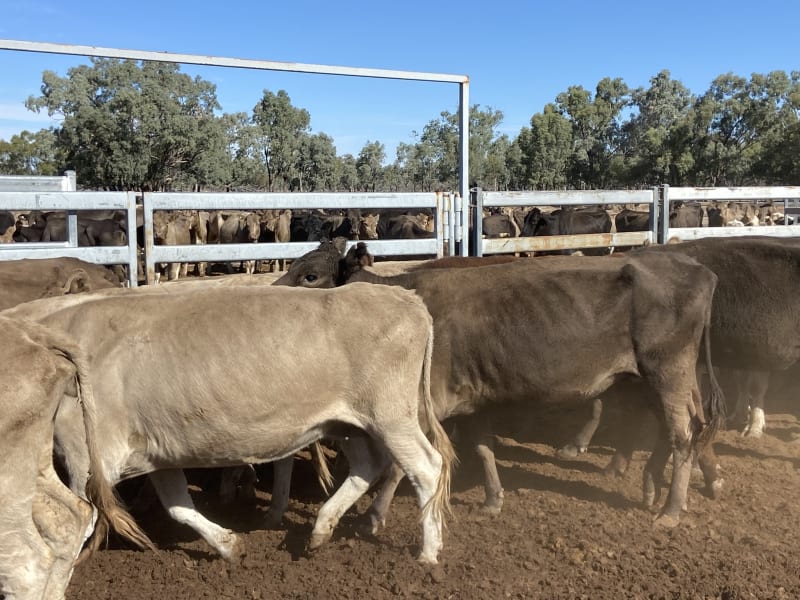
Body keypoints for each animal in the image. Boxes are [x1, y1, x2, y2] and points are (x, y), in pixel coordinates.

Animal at [6, 284, 454, 565]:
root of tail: (403, 296)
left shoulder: (85, 455)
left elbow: (74, 521)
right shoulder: (158, 452)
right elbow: (178, 506)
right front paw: (229, 546)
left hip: (390, 416)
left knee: (426, 469)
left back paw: (428, 552)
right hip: (348, 423)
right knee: (367, 466)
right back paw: (321, 529)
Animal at [274, 239, 725, 531]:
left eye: (311, 275)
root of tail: (698, 269)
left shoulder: (423, 404)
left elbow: (403, 464)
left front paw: (373, 516)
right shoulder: (469, 400)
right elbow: (483, 448)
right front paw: (493, 500)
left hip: (667, 374)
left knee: (684, 435)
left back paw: (671, 509)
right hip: (659, 380)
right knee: (689, 427)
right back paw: (661, 485)